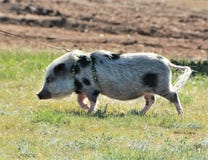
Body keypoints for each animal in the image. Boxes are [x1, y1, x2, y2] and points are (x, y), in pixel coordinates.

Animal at [37, 49, 192, 114]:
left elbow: (93, 101)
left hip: (162, 85)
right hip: (148, 89)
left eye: (49, 79)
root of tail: (168, 62)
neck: (75, 71)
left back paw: (181, 114)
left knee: (174, 95)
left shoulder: (91, 88)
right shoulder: (83, 88)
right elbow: (80, 100)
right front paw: (85, 108)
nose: (38, 95)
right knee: (151, 101)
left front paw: (89, 112)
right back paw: (137, 113)